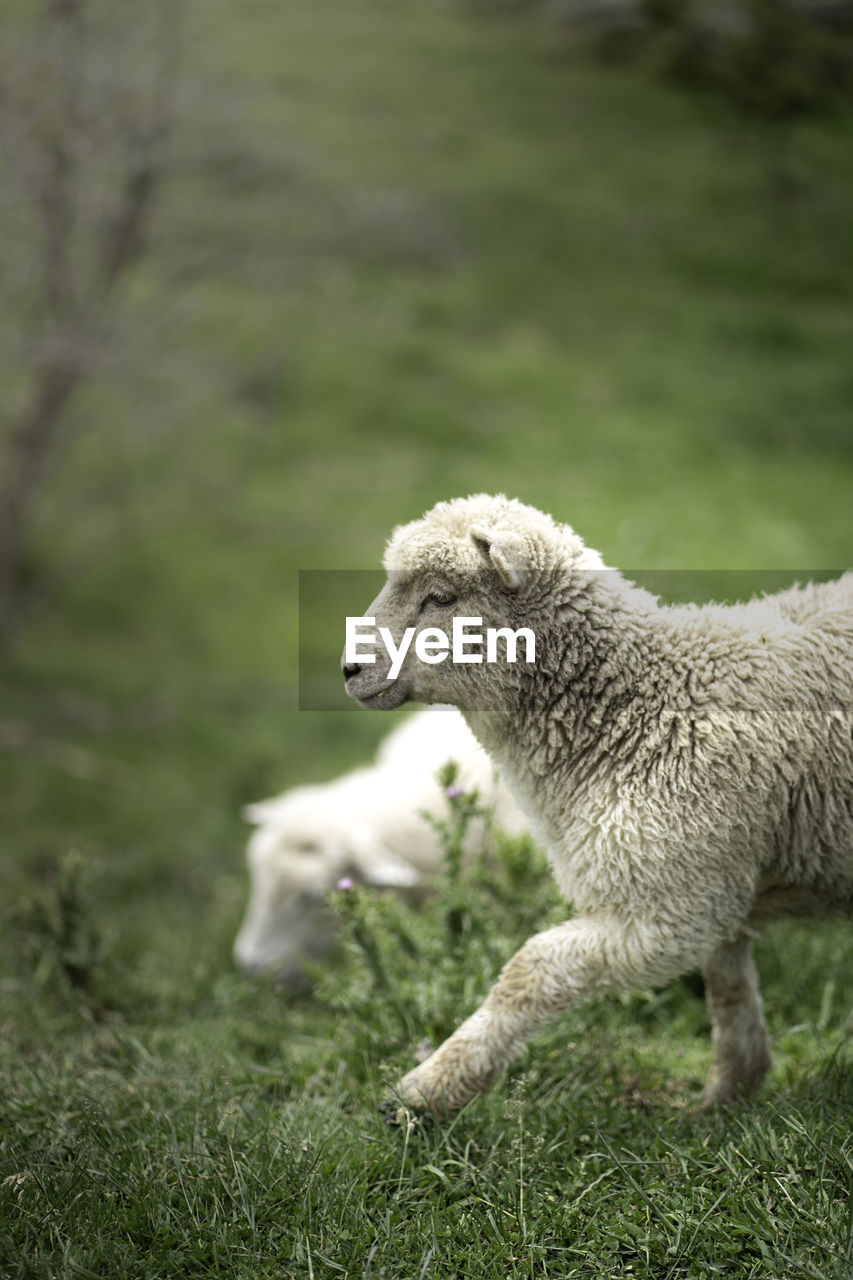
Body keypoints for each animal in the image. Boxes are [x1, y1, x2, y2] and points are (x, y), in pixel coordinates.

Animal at [340, 494, 850, 1116]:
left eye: (441, 597)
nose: (349, 670)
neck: (637, 707)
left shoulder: (669, 908)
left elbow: (530, 968)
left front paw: (430, 1088)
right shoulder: (707, 878)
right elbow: (726, 987)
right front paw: (728, 1095)